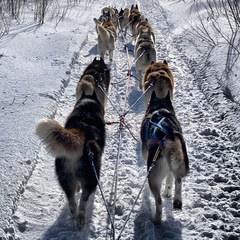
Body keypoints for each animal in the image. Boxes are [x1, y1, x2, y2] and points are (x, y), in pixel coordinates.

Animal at [35, 56, 110, 231]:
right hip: (90, 178)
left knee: (71, 202)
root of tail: (80, 135)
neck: (87, 106)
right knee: (83, 202)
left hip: (66, 180)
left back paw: (74, 215)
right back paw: (81, 220)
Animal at [141, 91, 189, 225]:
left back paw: (156, 220)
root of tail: (168, 136)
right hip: (178, 163)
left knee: (159, 202)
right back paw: (177, 200)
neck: (160, 108)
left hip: (153, 178)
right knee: (178, 179)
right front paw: (168, 191)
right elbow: (169, 179)